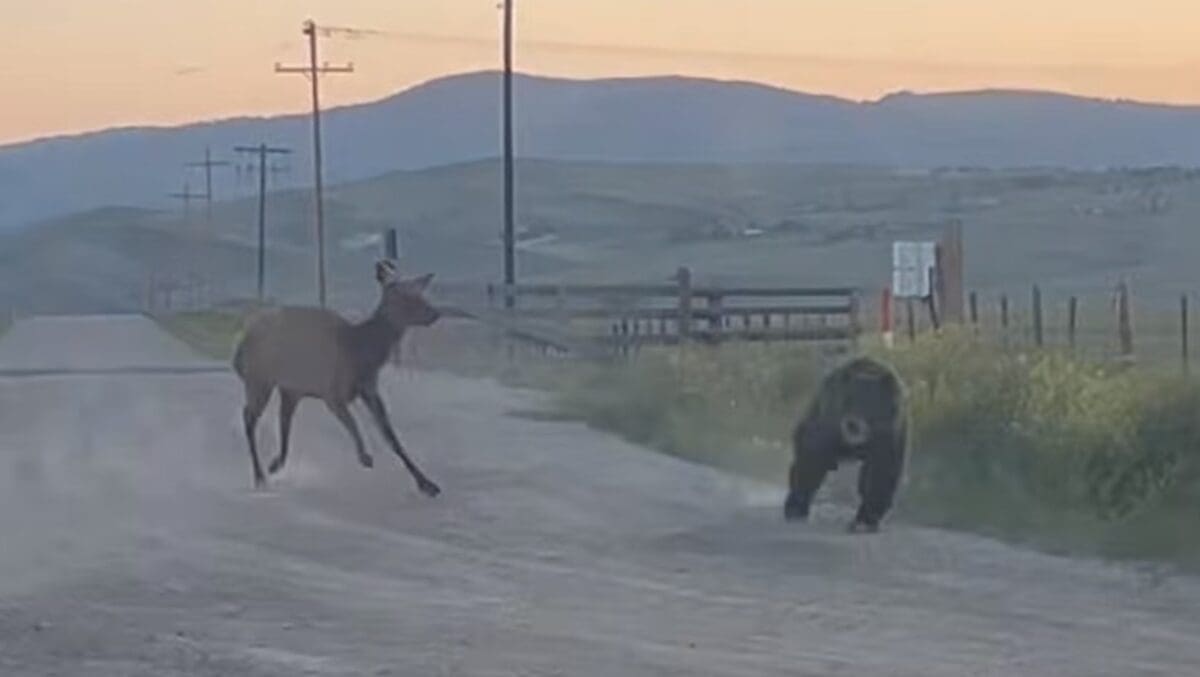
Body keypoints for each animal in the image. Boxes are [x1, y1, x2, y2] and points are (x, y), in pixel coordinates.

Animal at [232, 259, 442, 497]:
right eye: (405, 296)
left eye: (420, 293)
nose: (434, 312)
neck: (363, 353)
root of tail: (239, 350)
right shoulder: (333, 392)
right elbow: (353, 423)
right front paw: (365, 456)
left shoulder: (369, 389)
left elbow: (391, 436)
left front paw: (427, 484)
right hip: (259, 379)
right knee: (249, 417)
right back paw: (260, 476)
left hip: (289, 388)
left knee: (282, 420)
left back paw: (274, 464)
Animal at [783, 356, 908, 533]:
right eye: (848, 399)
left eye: (871, 404)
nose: (852, 424)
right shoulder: (831, 423)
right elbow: (812, 460)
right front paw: (796, 507)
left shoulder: (888, 434)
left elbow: (881, 471)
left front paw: (866, 520)